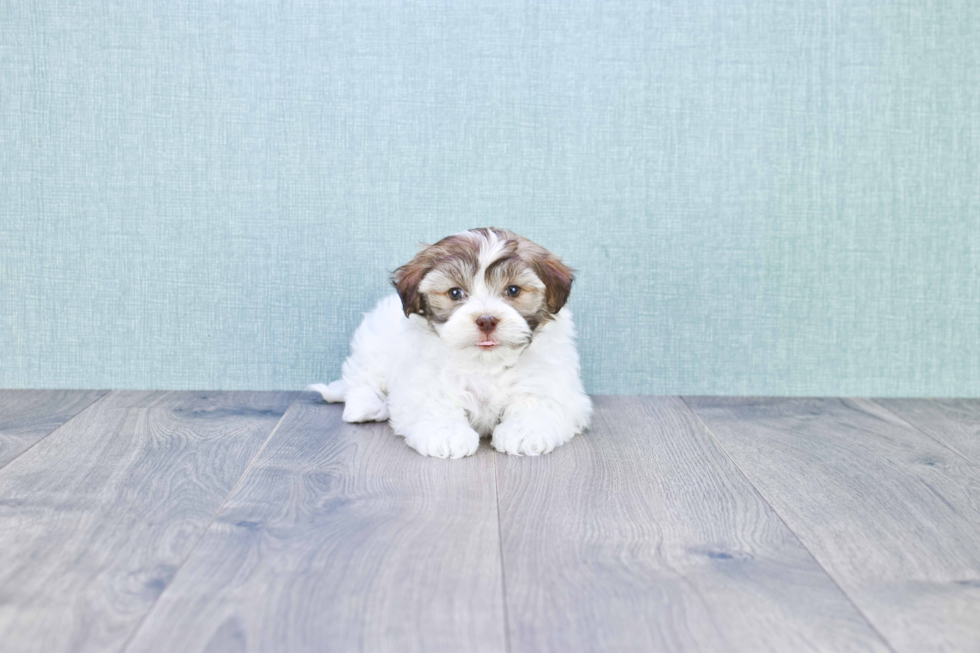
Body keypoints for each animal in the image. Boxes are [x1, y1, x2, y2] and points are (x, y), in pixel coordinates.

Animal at [312, 229, 588, 458]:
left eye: (513, 290)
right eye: (455, 293)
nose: (486, 320)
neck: (486, 364)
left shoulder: (549, 377)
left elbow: (538, 400)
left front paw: (524, 431)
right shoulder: (423, 378)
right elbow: (436, 401)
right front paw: (446, 434)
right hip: (374, 343)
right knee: (362, 377)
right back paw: (365, 407)